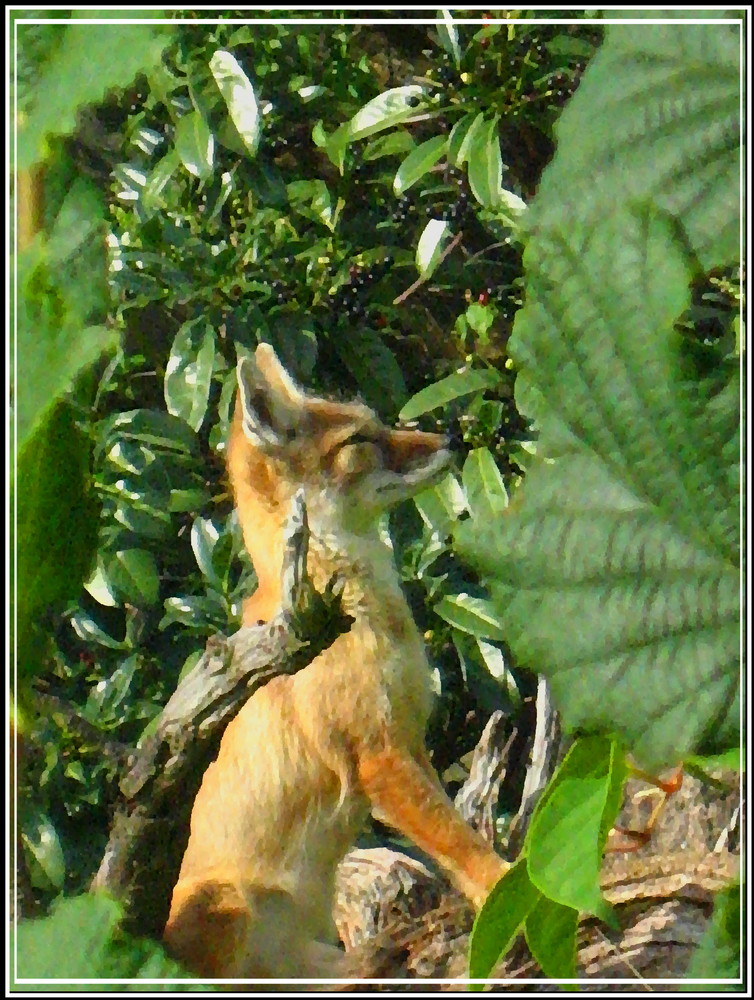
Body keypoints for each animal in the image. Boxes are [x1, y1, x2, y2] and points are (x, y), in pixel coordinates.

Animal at [163, 346, 506, 984]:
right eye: (362, 439)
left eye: (377, 421)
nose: (451, 435)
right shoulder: (377, 756)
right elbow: (465, 846)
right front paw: (508, 888)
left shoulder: (409, 738)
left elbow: (455, 837)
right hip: (228, 908)